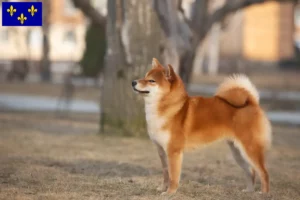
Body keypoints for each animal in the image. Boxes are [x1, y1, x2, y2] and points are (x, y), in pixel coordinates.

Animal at [131, 57, 272, 195]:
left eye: (151, 81)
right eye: (145, 76)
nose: (133, 82)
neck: (169, 107)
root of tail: (252, 102)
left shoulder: (174, 152)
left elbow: (173, 176)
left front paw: (170, 192)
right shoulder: (161, 150)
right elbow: (166, 173)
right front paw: (163, 188)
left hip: (250, 149)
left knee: (263, 172)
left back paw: (264, 193)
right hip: (237, 152)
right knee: (251, 171)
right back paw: (249, 190)